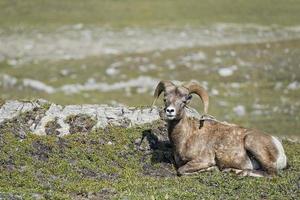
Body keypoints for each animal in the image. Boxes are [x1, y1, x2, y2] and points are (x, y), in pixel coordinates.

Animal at [154, 79, 288, 177]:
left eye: (184, 101)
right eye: (165, 99)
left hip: (252, 143)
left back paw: (241, 173)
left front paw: (212, 169)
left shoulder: (203, 160)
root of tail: (279, 149)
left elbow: (181, 170)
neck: (185, 138)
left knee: (271, 174)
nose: (170, 111)